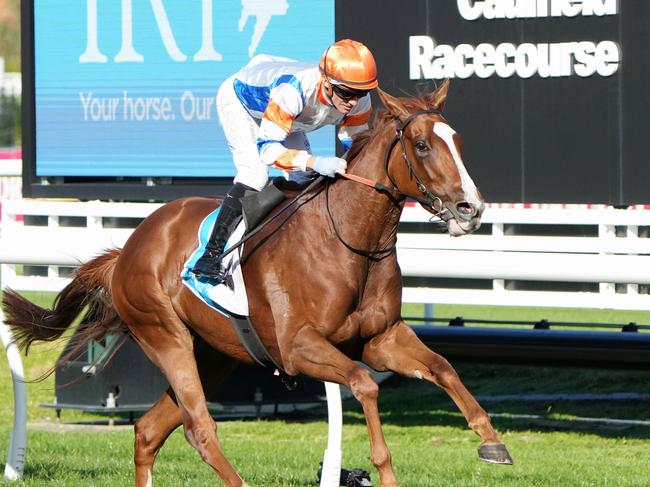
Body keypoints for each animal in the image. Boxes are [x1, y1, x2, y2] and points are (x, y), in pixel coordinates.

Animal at [5, 82, 512, 486]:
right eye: (422, 145)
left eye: (457, 140)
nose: (471, 208)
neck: (349, 240)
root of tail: (128, 248)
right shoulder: (298, 347)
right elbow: (364, 385)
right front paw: (384, 468)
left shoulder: (381, 337)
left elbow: (443, 366)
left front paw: (492, 442)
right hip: (165, 336)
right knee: (200, 429)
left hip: (213, 354)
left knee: (149, 431)